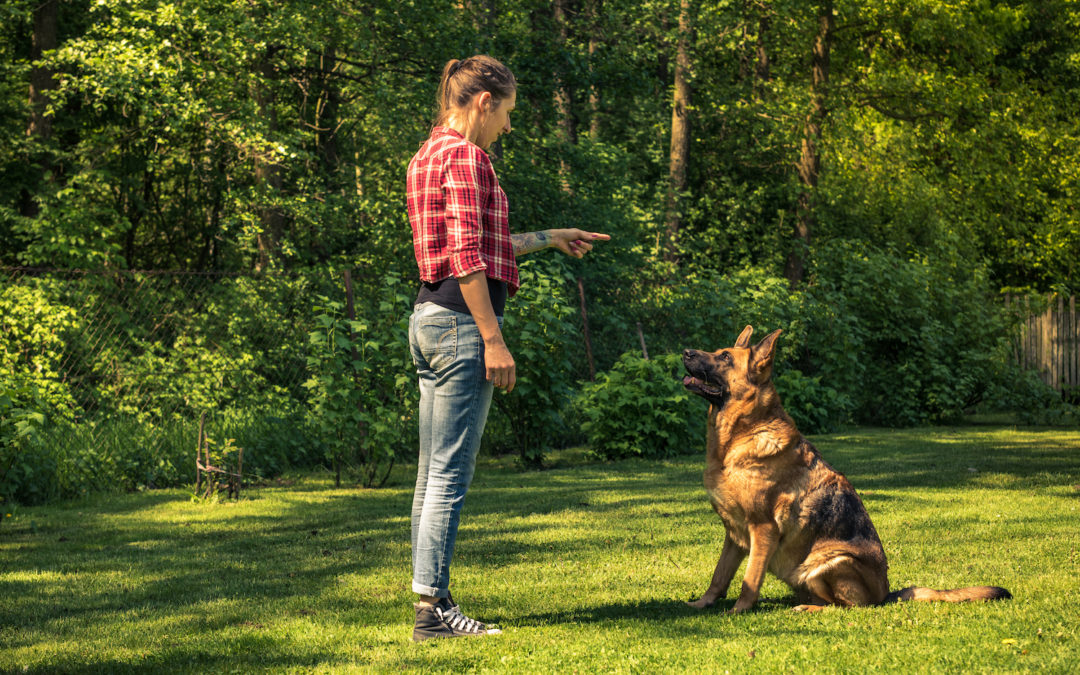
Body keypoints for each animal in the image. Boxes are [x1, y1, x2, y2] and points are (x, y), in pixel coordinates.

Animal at [682, 326, 1010, 609]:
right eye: (717, 351)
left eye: (725, 357)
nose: (685, 351)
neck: (737, 438)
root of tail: (885, 595)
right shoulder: (734, 536)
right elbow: (719, 576)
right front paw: (701, 605)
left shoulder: (762, 529)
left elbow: (749, 579)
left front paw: (738, 611)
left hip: (828, 563)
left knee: (844, 607)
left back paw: (807, 608)